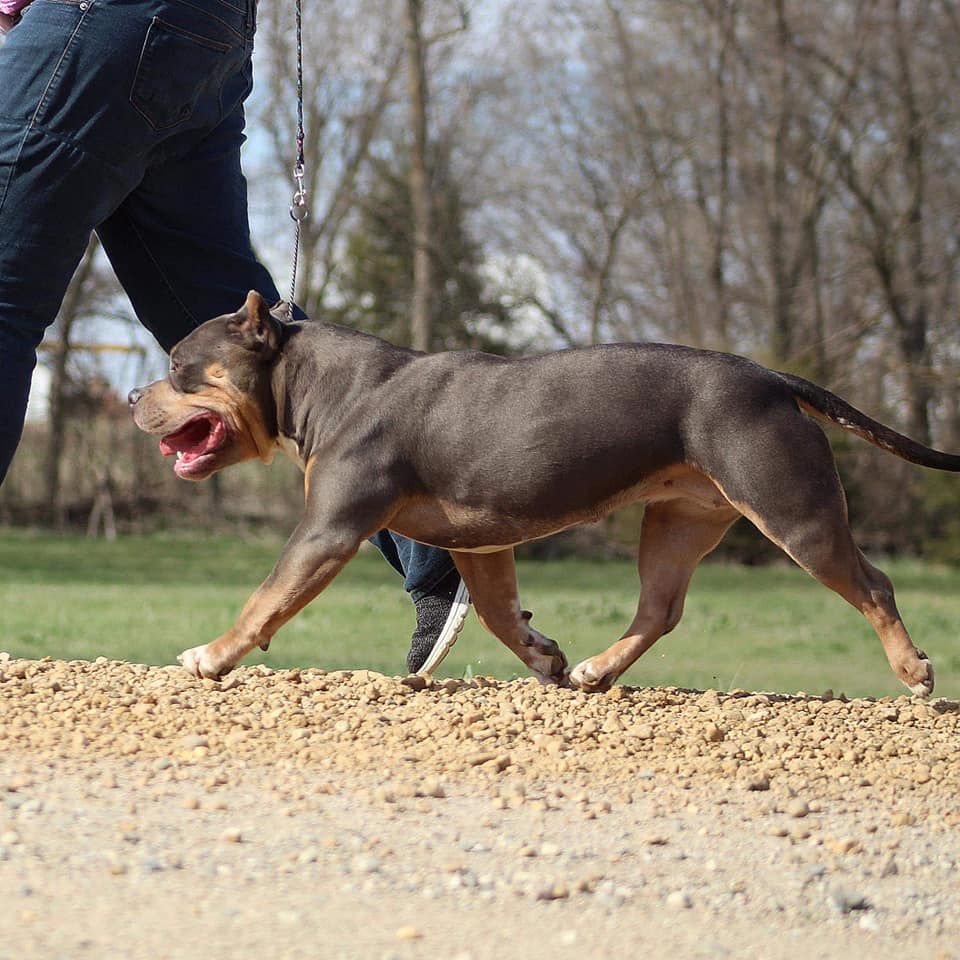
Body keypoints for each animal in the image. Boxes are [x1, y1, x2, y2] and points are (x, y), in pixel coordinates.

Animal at [129, 288, 960, 692]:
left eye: (177, 366)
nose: (132, 394)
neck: (318, 382)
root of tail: (771, 378)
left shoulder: (327, 530)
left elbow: (264, 598)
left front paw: (212, 655)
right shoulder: (480, 543)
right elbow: (500, 614)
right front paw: (546, 659)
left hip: (793, 512)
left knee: (874, 585)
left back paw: (914, 671)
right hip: (678, 521)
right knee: (660, 608)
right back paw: (596, 671)